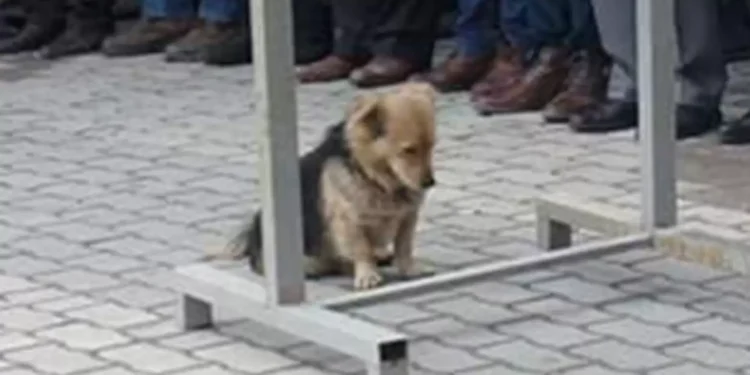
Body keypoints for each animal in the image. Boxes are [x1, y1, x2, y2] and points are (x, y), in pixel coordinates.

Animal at [209, 83, 438, 290]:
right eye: (408, 150)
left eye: (432, 146)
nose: (430, 183)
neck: (375, 177)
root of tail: (251, 239)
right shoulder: (347, 221)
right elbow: (361, 249)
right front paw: (367, 274)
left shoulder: (408, 218)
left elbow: (404, 247)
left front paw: (409, 268)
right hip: (307, 262)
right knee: (334, 263)